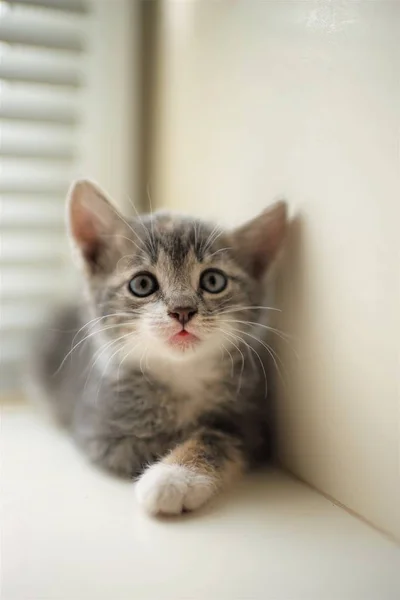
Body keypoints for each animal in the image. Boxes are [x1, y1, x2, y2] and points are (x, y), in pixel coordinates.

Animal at [32, 179, 286, 516]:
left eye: (214, 281)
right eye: (142, 284)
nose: (182, 310)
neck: (182, 375)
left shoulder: (253, 423)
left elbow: (215, 437)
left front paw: (174, 476)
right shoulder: (98, 431)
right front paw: (171, 472)